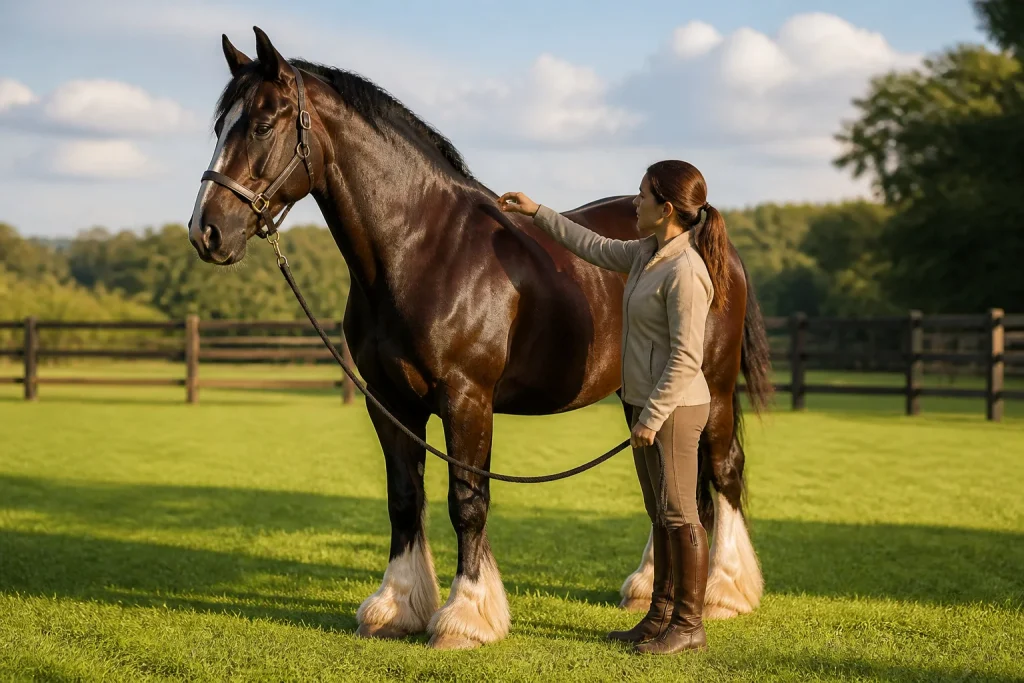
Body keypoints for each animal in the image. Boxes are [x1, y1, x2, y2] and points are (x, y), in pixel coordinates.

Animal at [188, 27, 773, 650]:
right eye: (220, 126)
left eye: (263, 124)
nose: (207, 231)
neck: (423, 247)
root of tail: (713, 239)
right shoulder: (389, 402)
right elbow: (404, 498)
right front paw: (396, 607)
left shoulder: (466, 399)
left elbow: (467, 500)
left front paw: (466, 616)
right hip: (638, 397)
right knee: (664, 487)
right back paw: (646, 588)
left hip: (711, 389)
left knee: (723, 470)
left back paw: (725, 591)